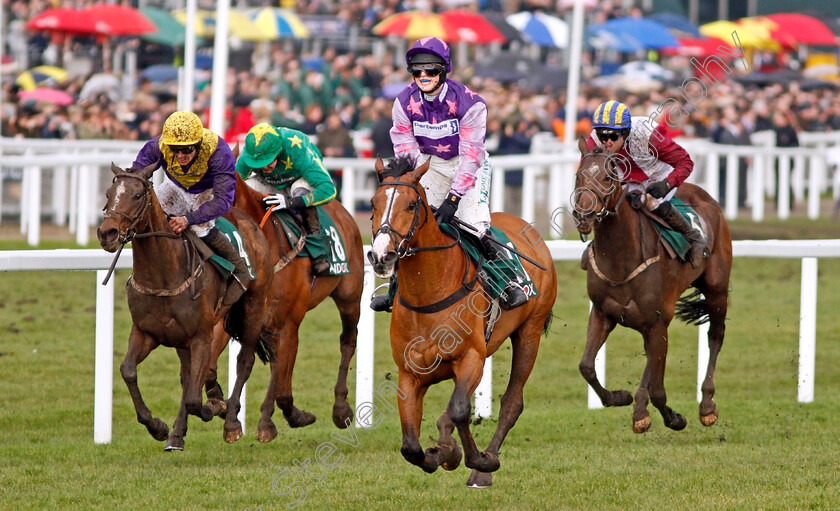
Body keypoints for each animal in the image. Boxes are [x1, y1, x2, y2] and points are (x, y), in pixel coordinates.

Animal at [97, 162, 272, 450]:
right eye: (109, 194)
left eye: (137, 195)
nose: (107, 233)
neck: (163, 274)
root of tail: (250, 222)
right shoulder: (146, 332)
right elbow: (128, 371)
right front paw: (157, 427)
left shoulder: (201, 335)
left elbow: (193, 398)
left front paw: (216, 407)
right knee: (187, 376)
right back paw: (177, 435)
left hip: (254, 307)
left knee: (244, 361)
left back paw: (231, 422)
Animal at [231, 170, 362, 442]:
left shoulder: (288, 321)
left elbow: (281, 379)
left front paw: (279, 419)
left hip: (349, 297)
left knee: (348, 340)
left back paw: (341, 409)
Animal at [370, 158, 556, 490]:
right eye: (373, 204)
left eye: (410, 205)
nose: (381, 255)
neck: (428, 292)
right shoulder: (410, 373)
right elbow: (411, 446)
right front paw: (442, 453)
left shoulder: (470, 356)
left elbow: (459, 410)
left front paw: (476, 459)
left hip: (530, 332)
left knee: (512, 402)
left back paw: (484, 468)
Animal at [576, 138, 732, 434]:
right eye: (579, 174)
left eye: (607, 177)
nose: (584, 215)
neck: (621, 261)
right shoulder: (602, 313)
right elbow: (587, 367)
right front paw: (620, 397)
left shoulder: (657, 321)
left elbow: (659, 391)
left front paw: (675, 418)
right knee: (651, 355)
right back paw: (639, 410)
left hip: (716, 288)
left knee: (715, 337)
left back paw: (707, 405)